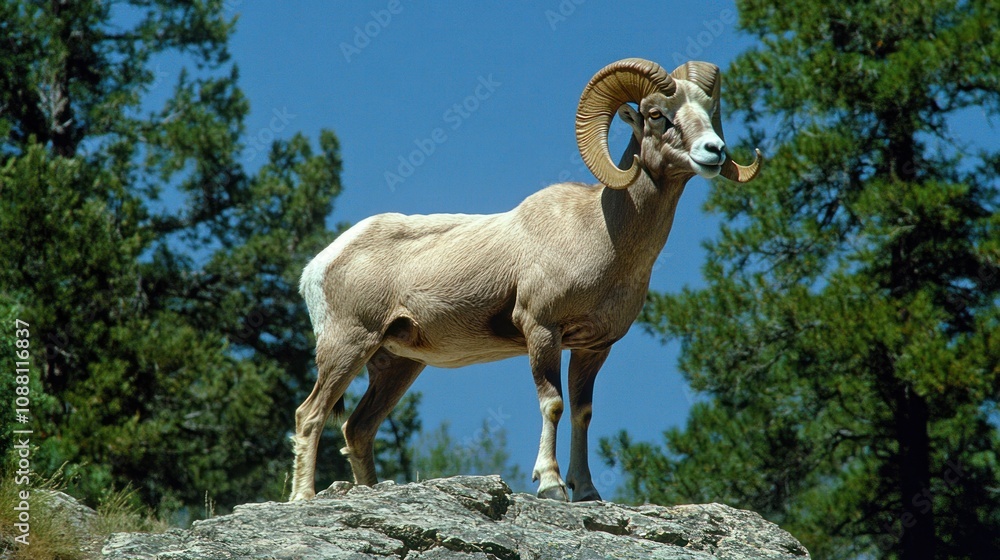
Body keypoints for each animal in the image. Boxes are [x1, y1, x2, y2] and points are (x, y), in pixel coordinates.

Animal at [290, 58, 761, 502]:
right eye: (657, 114)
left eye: (708, 111)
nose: (714, 151)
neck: (602, 235)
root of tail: (318, 266)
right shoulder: (541, 330)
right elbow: (553, 405)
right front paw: (551, 485)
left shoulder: (593, 347)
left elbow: (582, 412)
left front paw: (586, 492)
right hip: (348, 345)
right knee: (310, 415)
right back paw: (303, 496)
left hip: (396, 364)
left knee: (358, 429)